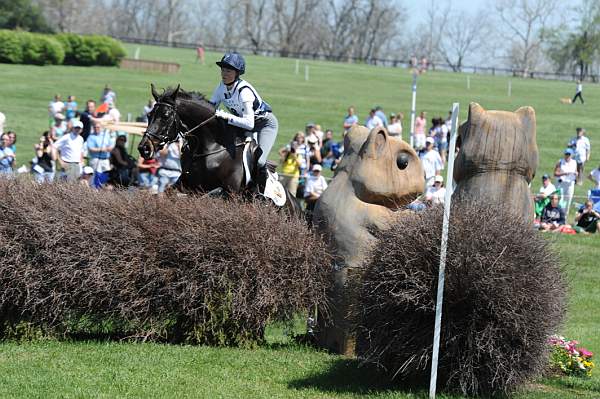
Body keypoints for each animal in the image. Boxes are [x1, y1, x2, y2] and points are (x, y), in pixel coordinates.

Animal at [138, 83, 302, 216]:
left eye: (166, 116)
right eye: (149, 115)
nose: (144, 148)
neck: (212, 148)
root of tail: (297, 206)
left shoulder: (230, 194)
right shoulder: (187, 183)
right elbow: (168, 192)